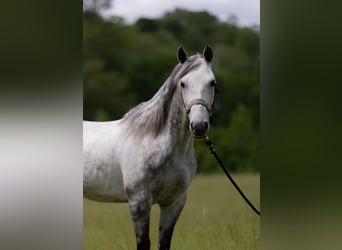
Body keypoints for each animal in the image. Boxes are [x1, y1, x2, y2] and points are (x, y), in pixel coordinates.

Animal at [83, 46, 216, 249]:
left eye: (212, 82)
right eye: (183, 84)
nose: (199, 126)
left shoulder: (174, 202)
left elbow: (164, 243)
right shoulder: (139, 201)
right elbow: (143, 243)